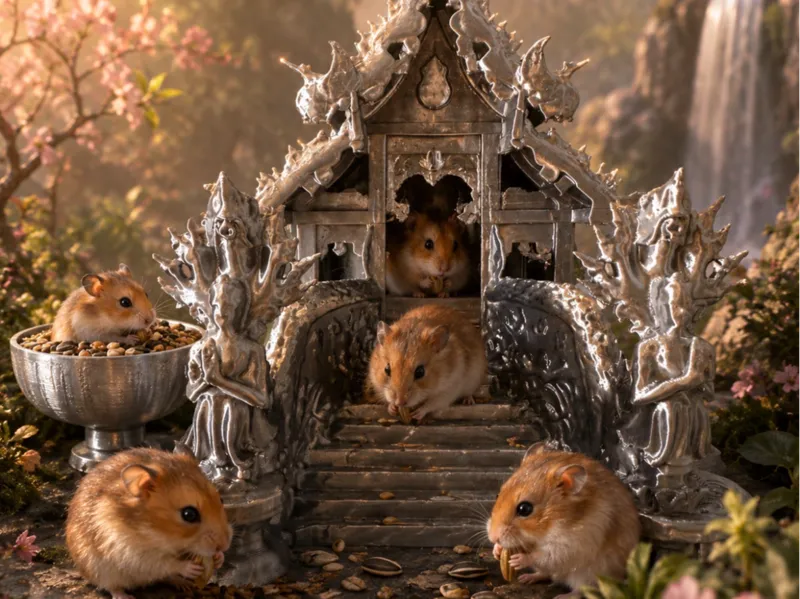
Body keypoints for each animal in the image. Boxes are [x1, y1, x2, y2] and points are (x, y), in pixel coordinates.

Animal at [66, 448, 232, 599]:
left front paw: (219, 559)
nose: (224, 545)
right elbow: (166, 563)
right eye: (189, 514)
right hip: (100, 570)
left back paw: (184, 584)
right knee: (113, 586)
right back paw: (125, 596)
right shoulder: (130, 552)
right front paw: (190, 568)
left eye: (221, 499)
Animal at [487, 443, 641, 597]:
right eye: (498, 494)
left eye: (525, 509)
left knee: (581, 590)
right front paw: (497, 551)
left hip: (590, 574)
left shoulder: (572, 545)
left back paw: (562, 596)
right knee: (547, 574)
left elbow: (543, 555)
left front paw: (516, 560)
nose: (493, 537)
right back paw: (526, 578)